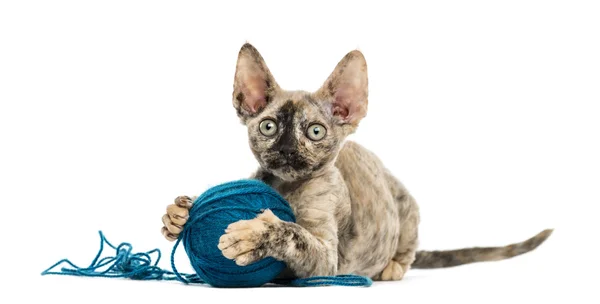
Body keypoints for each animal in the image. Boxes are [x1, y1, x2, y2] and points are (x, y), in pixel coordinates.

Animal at [161, 42, 552, 280]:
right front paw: (179, 213)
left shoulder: (327, 259)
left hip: (408, 209)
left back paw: (392, 268)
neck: (286, 186)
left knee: (409, 248)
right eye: (269, 127)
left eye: (315, 131)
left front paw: (256, 234)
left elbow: (294, 233)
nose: (286, 149)